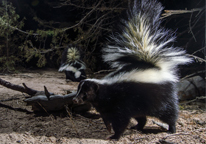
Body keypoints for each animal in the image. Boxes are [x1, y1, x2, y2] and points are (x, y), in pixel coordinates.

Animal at [72, 0, 192, 140]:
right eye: (78, 90)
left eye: (85, 93)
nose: (75, 100)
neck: (105, 89)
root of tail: (156, 67)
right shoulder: (106, 107)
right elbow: (107, 118)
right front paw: (109, 129)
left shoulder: (120, 105)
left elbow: (121, 121)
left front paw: (115, 136)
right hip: (140, 104)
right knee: (142, 118)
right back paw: (138, 127)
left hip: (161, 97)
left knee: (169, 112)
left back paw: (171, 129)